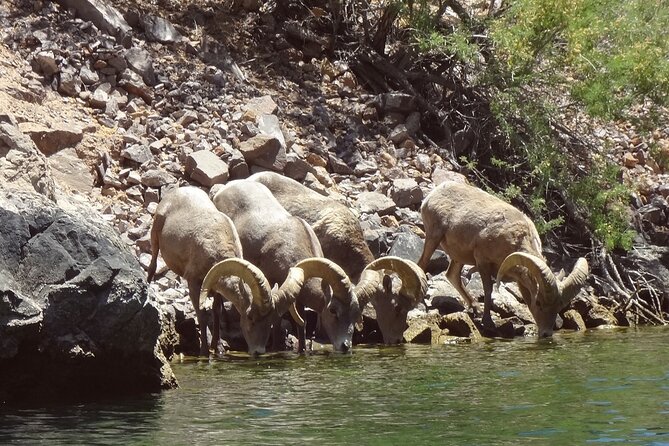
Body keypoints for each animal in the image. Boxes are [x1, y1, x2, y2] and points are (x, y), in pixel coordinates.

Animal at [420, 179, 588, 336]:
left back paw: (476, 308)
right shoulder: (482, 261)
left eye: (559, 307)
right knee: (422, 264)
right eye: (539, 302)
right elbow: (488, 290)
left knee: (452, 275)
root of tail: (431, 195)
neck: (514, 239)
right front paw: (488, 323)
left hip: (458, 256)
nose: (546, 334)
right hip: (433, 237)